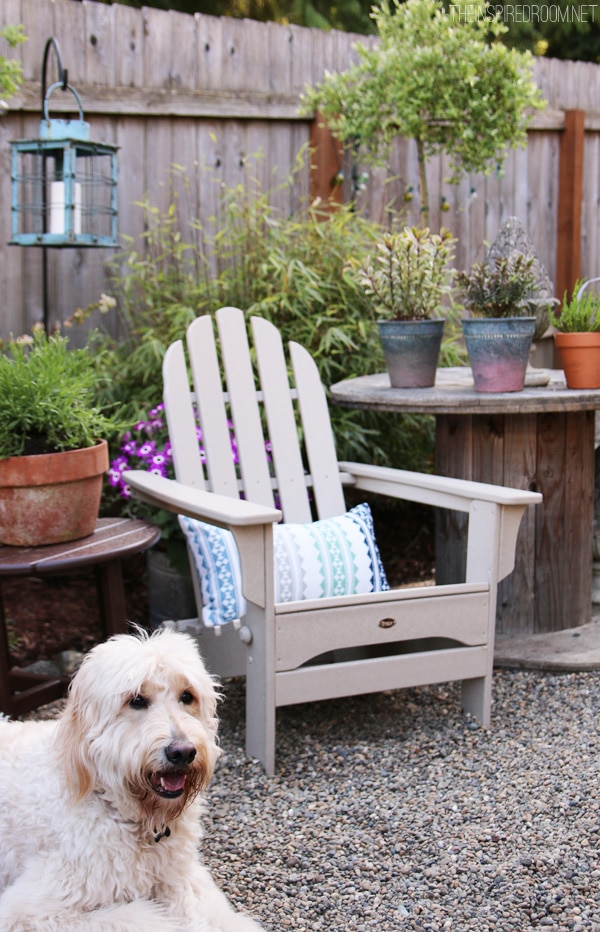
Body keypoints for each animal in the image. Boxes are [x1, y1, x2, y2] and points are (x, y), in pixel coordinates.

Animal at [0, 628, 262, 932]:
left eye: (187, 696)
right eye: (136, 700)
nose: (182, 752)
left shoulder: (182, 876)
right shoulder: (26, 909)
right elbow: (140, 918)